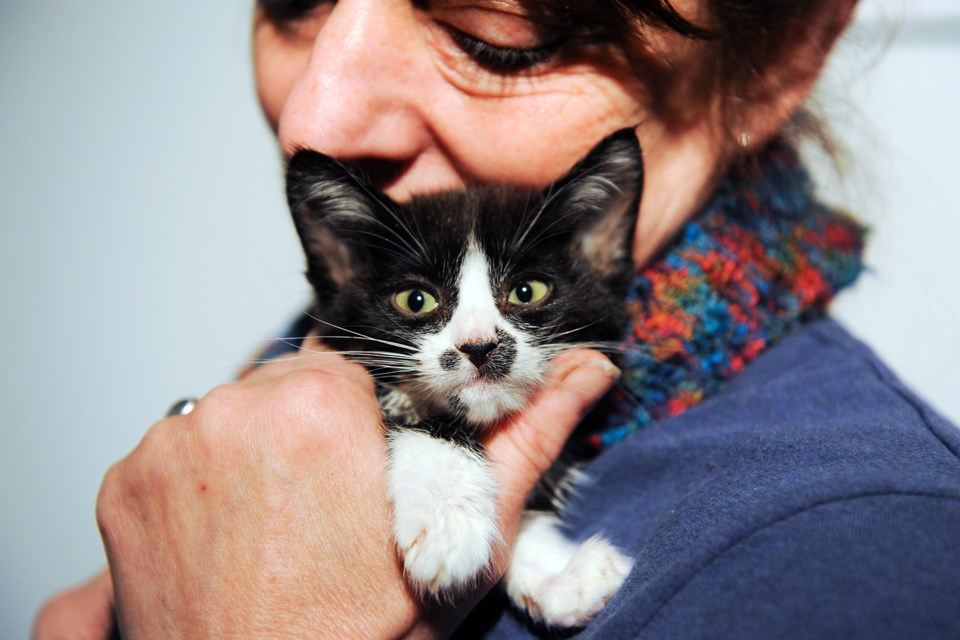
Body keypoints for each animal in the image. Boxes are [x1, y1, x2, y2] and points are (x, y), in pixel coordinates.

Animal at [286, 127, 644, 628]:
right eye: (416, 299)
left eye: (528, 290)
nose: (478, 346)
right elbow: (422, 420)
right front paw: (447, 518)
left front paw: (556, 571)